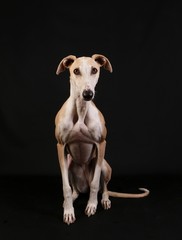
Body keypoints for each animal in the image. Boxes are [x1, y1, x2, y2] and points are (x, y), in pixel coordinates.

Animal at [54, 54, 149, 225]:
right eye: (76, 71)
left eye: (94, 70)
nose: (88, 94)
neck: (81, 110)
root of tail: (82, 187)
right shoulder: (60, 146)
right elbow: (65, 187)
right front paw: (69, 212)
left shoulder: (101, 144)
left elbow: (94, 183)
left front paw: (92, 205)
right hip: (70, 162)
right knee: (74, 189)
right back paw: (71, 199)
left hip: (105, 165)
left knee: (103, 187)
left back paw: (104, 199)